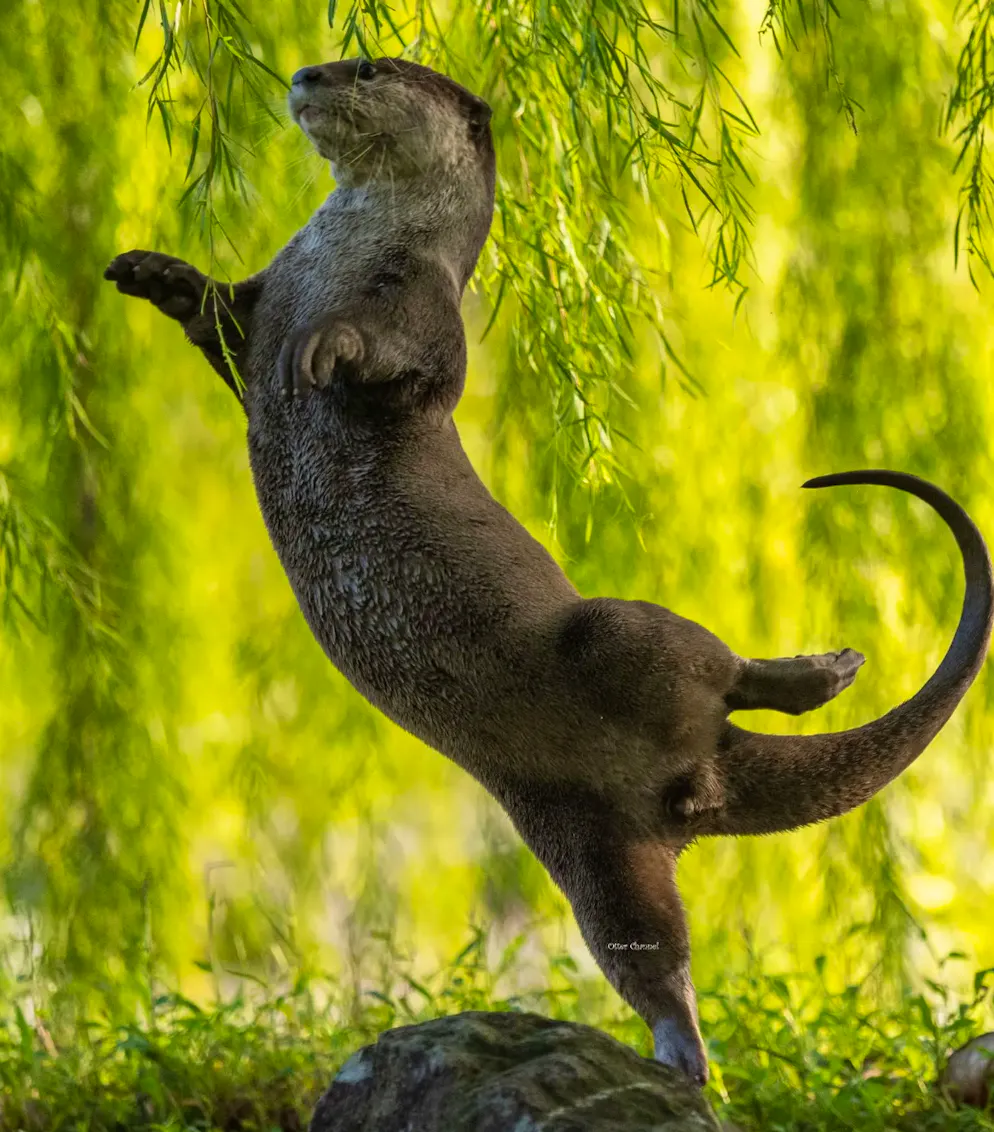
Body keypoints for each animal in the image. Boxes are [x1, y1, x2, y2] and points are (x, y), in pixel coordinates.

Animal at [104, 57, 993, 1087]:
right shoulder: (266, 293)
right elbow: (217, 320)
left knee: (715, 666)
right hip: (583, 839)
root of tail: (702, 772)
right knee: (647, 948)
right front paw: (154, 273)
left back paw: (821, 673)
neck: (341, 255)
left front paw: (326, 346)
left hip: (613, 635)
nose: (307, 73)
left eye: (370, 65)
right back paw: (679, 1059)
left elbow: (394, 360)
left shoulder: (423, 312)